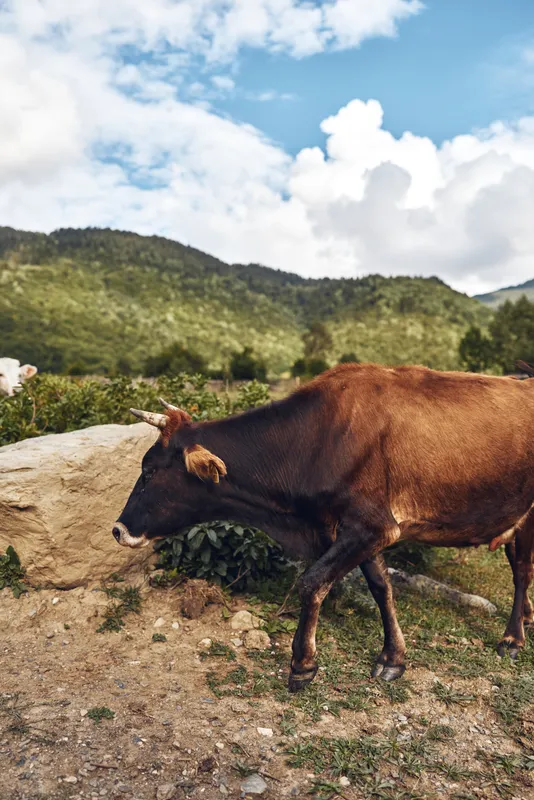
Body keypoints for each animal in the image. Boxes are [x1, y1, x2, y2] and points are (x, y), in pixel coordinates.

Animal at [113, 363, 534, 692]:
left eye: (150, 471)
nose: (118, 529)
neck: (317, 438)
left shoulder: (371, 526)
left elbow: (312, 582)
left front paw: (303, 665)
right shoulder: (358, 529)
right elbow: (381, 587)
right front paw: (393, 657)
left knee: (522, 572)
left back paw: (513, 638)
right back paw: (526, 619)